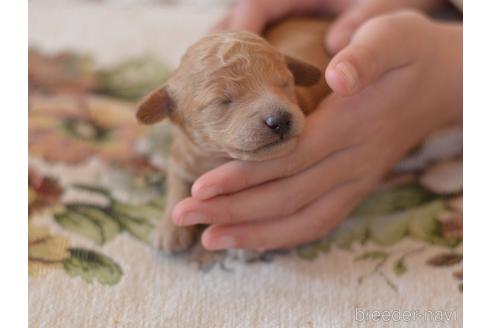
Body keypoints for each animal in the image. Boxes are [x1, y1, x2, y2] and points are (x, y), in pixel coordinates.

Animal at [136, 18, 332, 254]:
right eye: (223, 100)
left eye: (285, 84)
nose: (280, 119)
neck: (217, 159)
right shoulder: (182, 158)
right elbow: (177, 188)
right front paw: (170, 230)